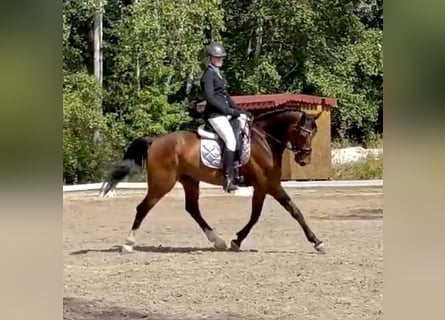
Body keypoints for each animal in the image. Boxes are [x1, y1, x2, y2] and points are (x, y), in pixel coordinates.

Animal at [99, 107, 324, 252]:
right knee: (143, 208)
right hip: (162, 183)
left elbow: (261, 215)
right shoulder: (269, 184)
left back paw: (218, 241)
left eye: (314, 134)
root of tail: (155, 141)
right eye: (302, 132)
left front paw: (236, 241)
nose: (304, 159)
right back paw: (128, 243)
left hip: (189, 181)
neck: (264, 141)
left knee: (193, 209)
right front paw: (317, 242)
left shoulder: (263, 186)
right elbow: (290, 211)